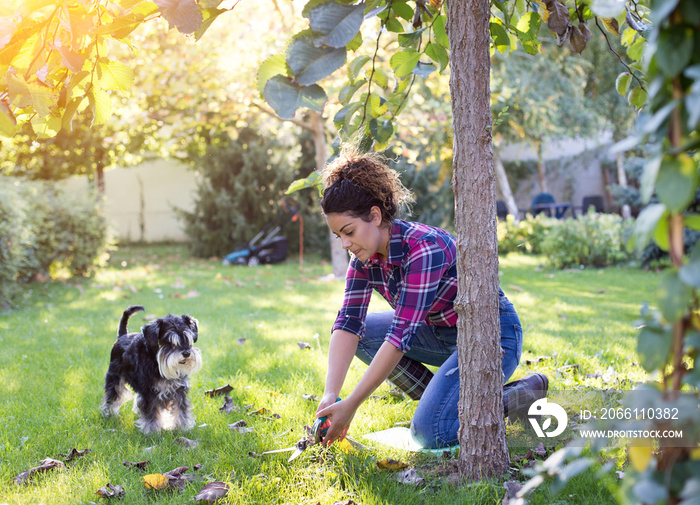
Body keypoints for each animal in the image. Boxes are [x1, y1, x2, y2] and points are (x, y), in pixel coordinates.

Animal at [101, 304, 205, 434]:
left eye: (187, 338)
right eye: (168, 341)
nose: (186, 353)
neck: (156, 361)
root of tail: (123, 335)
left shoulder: (179, 391)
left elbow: (181, 411)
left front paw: (183, 429)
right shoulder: (149, 392)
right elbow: (151, 412)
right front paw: (152, 432)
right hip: (114, 378)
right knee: (112, 396)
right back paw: (108, 414)